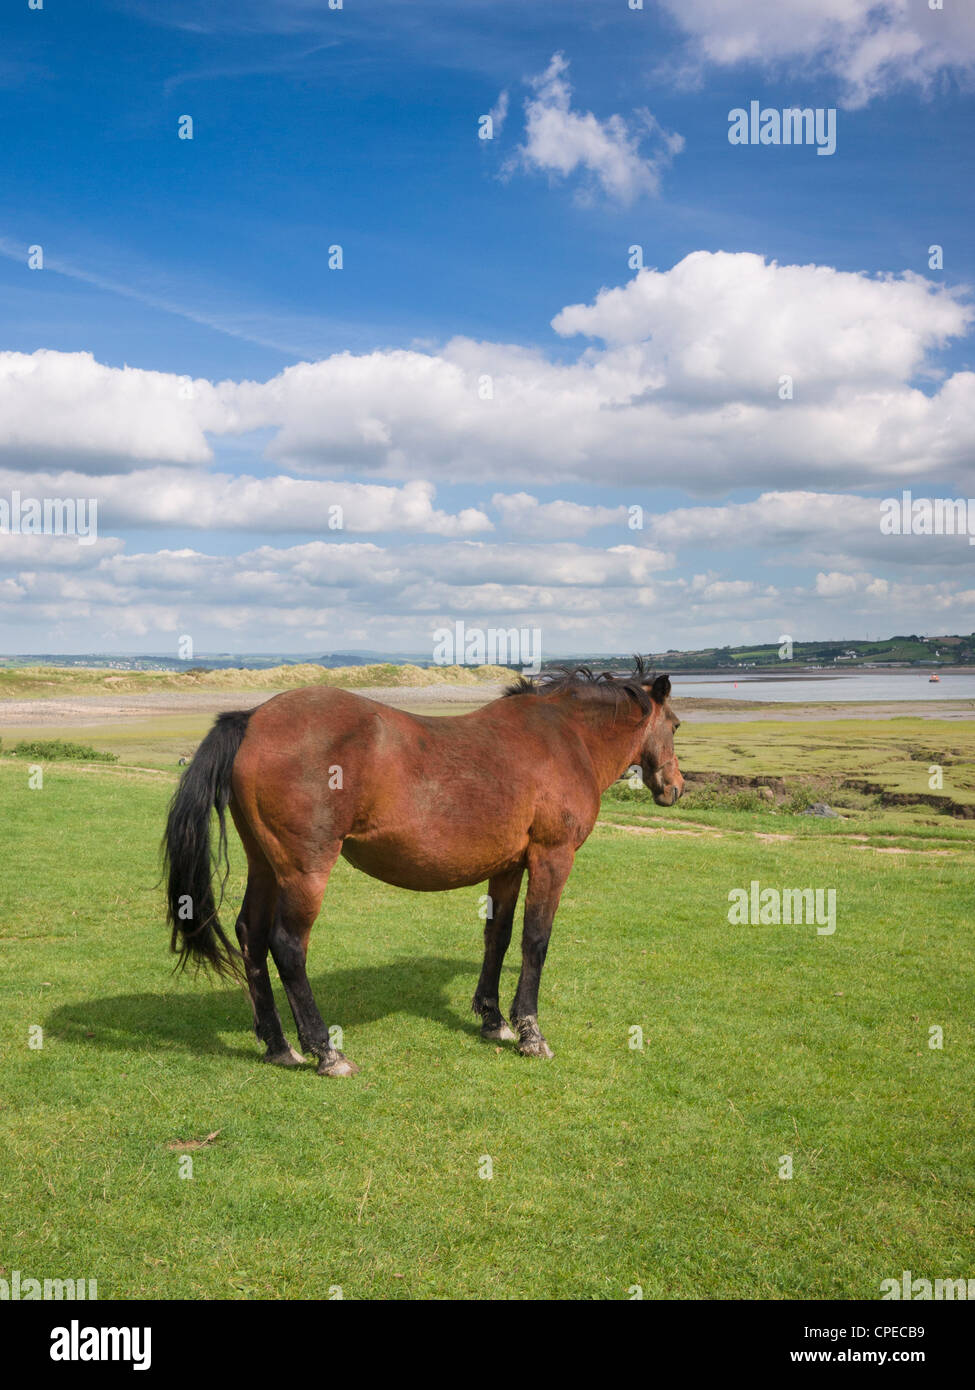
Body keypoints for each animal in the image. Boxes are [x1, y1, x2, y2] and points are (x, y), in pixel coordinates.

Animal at [159, 658, 681, 1073]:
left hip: (267, 865)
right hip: (304, 871)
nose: (675, 788)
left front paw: (493, 1020)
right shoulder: (552, 858)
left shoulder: (509, 866)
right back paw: (326, 1051)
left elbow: (498, 936)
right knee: (286, 946)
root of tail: (253, 719)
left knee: (250, 933)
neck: (563, 738)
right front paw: (530, 1033)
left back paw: (278, 1045)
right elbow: (535, 940)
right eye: (676, 725)